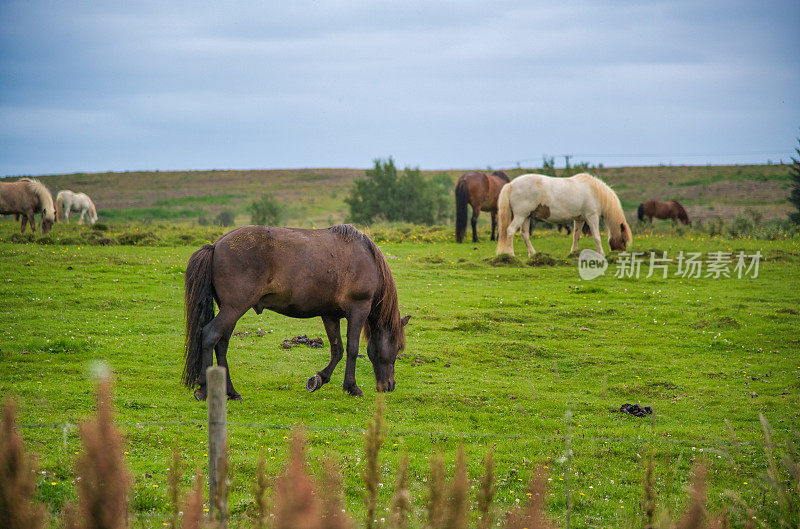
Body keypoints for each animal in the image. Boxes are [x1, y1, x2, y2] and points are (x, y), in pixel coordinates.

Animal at [184, 223, 410, 400]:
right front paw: (352, 387)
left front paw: (318, 379)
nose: (390, 386)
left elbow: (337, 349)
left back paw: (231, 392)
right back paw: (204, 389)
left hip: (230, 309)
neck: (365, 258)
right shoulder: (358, 310)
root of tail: (215, 246)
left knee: (222, 343)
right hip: (234, 307)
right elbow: (352, 349)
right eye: (398, 347)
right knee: (210, 335)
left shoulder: (330, 315)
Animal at [494, 172, 632, 256]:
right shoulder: (591, 216)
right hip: (520, 216)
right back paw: (511, 254)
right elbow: (597, 237)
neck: (594, 191)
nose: (621, 254)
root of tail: (511, 184)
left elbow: (576, 236)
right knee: (511, 230)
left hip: (526, 217)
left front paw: (573, 253)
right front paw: (601, 254)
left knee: (525, 234)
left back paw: (532, 254)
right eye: (623, 239)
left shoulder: (579, 219)